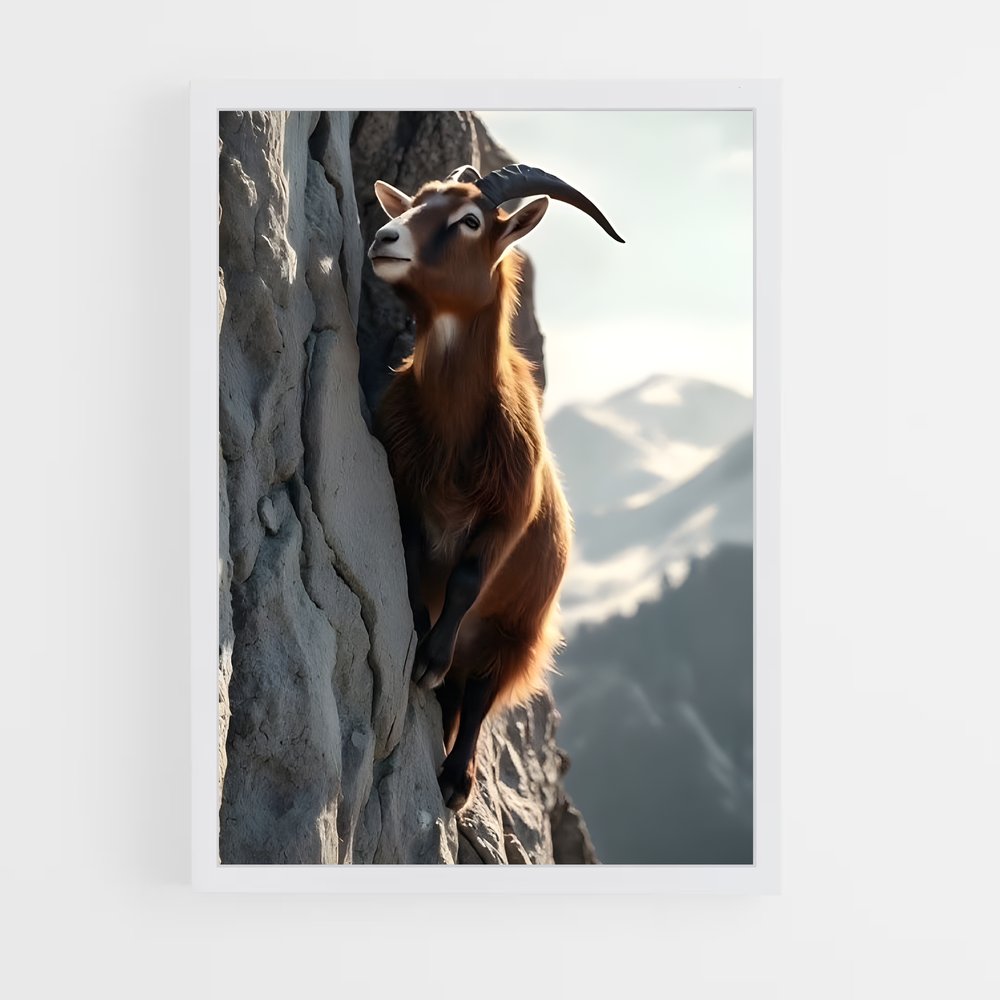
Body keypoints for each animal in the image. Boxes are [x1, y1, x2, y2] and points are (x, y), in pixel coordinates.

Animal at [368, 163, 624, 810]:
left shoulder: (510, 515)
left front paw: (430, 658)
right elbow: (413, 556)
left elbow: (465, 578)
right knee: (459, 700)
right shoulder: (405, 486)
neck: (456, 433)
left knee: (480, 696)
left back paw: (456, 780)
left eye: (470, 220)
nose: (384, 238)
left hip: (514, 636)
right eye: (415, 202)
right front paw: (418, 626)